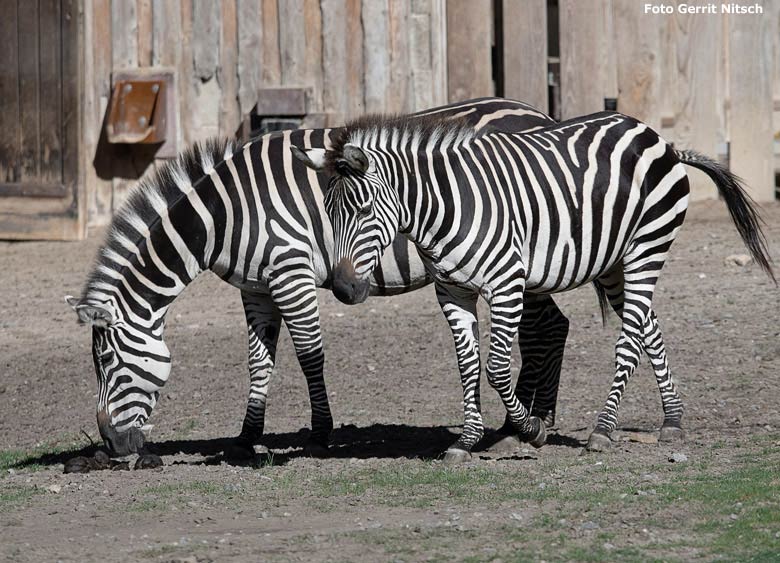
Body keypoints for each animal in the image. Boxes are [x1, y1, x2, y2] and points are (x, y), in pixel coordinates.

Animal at [64, 97, 568, 458]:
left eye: (106, 361)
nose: (111, 445)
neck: (226, 213)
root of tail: (538, 112)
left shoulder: (292, 272)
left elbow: (310, 355)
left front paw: (320, 431)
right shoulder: (256, 288)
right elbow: (259, 360)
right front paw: (247, 437)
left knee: (543, 329)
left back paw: (520, 428)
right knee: (553, 326)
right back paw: (527, 422)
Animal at [298, 111, 772, 462]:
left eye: (363, 210)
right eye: (328, 211)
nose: (343, 289)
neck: (446, 208)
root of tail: (661, 139)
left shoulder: (506, 284)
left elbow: (496, 367)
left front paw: (532, 429)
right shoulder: (451, 292)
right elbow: (468, 366)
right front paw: (466, 440)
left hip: (647, 248)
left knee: (629, 339)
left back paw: (603, 430)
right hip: (613, 263)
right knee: (647, 328)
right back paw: (672, 420)